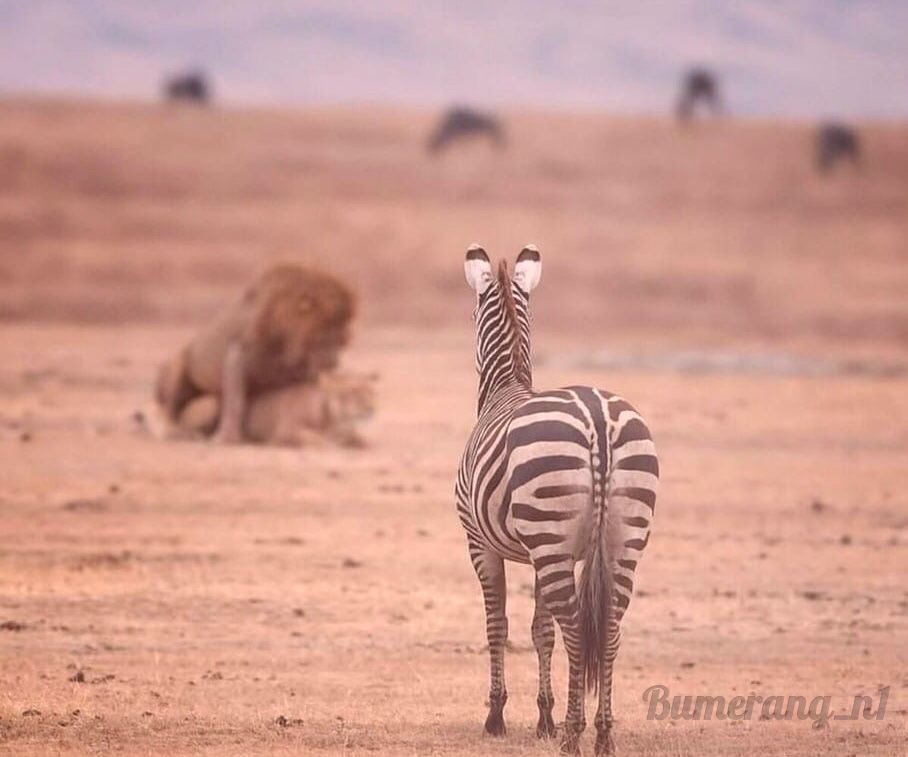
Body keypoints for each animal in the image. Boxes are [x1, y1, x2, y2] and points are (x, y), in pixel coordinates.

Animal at [455, 244, 658, 755]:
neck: (505, 388)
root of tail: (598, 419)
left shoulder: (481, 544)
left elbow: (499, 625)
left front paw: (497, 716)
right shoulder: (543, 552)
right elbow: (539, 630)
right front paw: (543, 717)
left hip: (550, 538)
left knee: (577, 631)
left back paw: (573, 735)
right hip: (621, 542)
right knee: (608, 629)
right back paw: (601, 734)